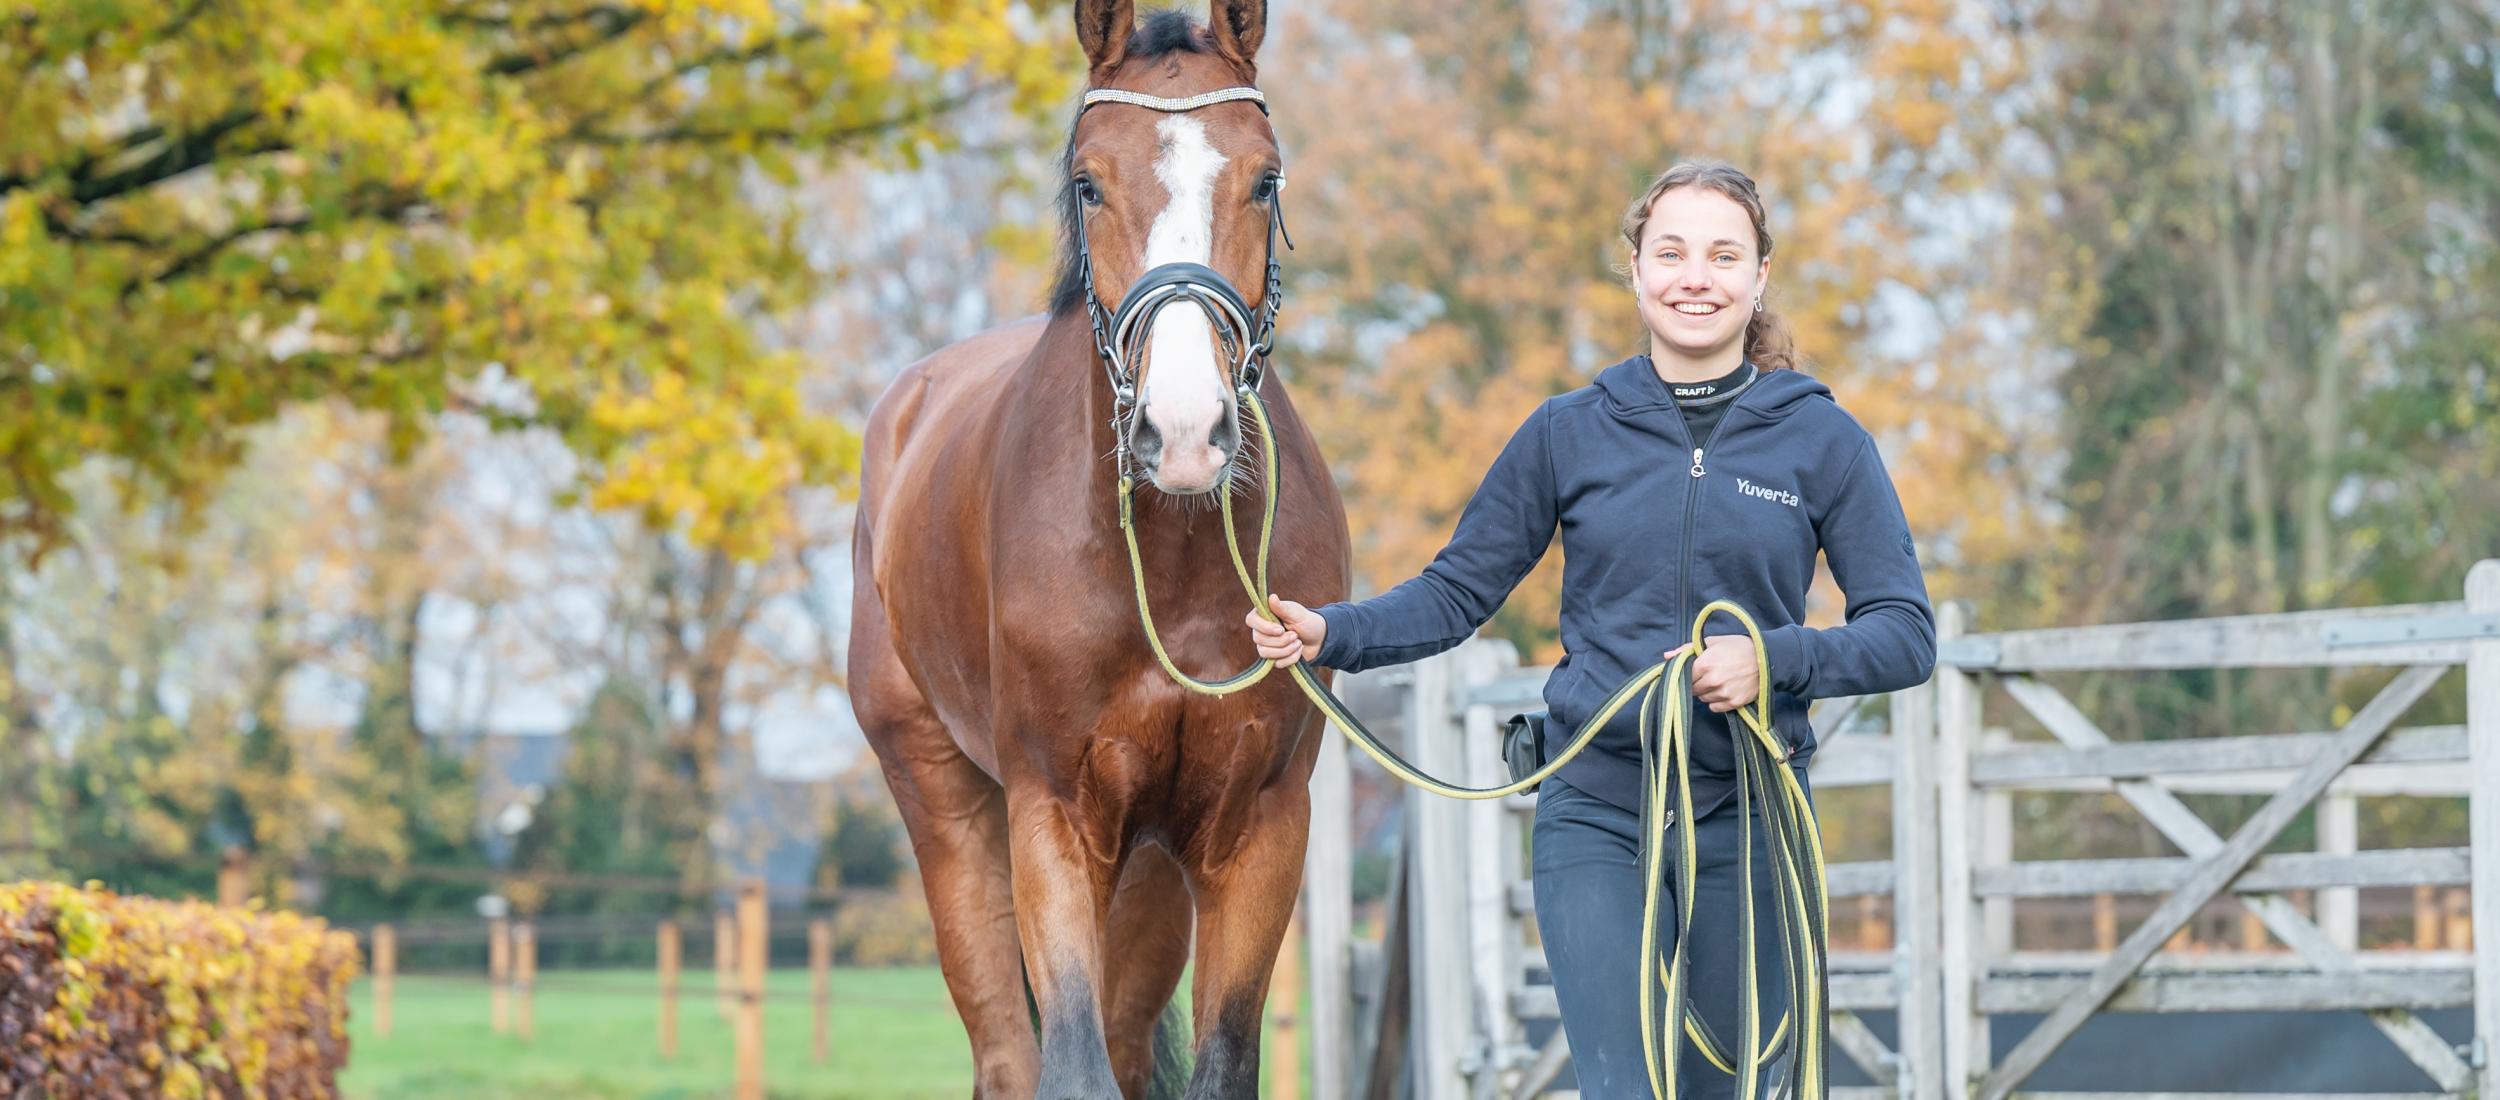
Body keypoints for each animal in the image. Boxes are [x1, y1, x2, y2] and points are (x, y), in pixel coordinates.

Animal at [850, 4, 1350, 1095]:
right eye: (1088, 181)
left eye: (1265, 178)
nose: (1186, 430)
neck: (1165, 565)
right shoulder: (1053, 817)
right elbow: (1067, 1064)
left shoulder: (1257, 827)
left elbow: (1214, 1062)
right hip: (947, 808)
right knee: (1008, 1052)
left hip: (1150, 864)